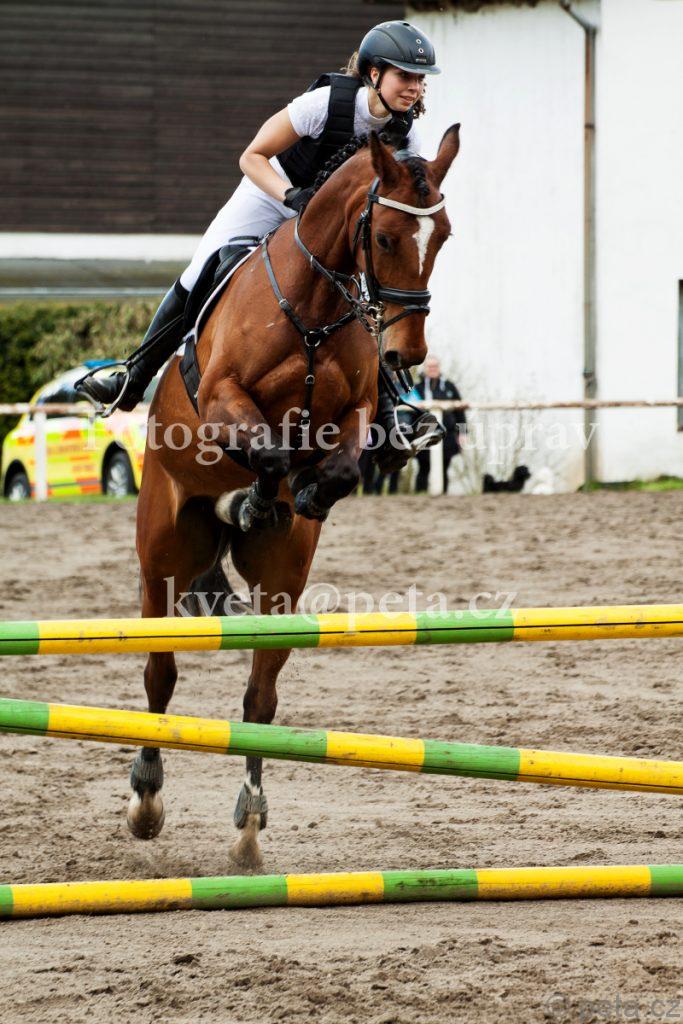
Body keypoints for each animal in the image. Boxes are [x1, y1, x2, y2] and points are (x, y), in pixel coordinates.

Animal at [130, 125, 461, 867]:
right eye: (385, 237)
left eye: (444, 236)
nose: (404, 353)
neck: (312, 311)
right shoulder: (222, 398)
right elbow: (267, 447)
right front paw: (257, 496)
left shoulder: (358, 411)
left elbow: (335, 465)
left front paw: (299, 497)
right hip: (163, 550)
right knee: (160, 672)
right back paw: (145, 798)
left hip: (280, 582)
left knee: (259, 698)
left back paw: (249, 825)